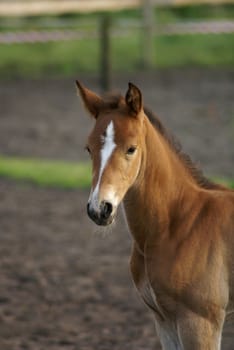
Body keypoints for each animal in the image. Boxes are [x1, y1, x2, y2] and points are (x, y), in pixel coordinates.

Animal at [76, 80, 233, 348]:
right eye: (88, 148)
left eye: (131, 149)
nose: (99, 209)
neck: (179, 226)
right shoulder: (164, 320)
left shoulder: (201, 323)